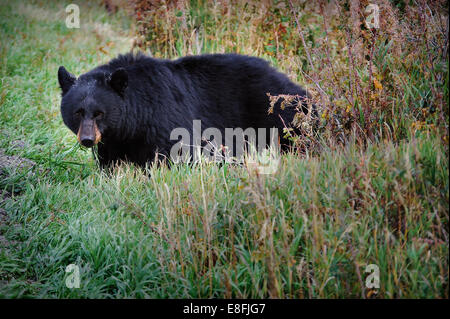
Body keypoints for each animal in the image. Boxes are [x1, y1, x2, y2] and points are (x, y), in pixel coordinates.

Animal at [58, 52, 312, 168]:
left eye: (99, 112)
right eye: (78, 112)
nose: (87, 139)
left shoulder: (165, 119)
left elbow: (174, 154)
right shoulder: (114, 139)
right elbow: (111, 162)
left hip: (277, 111)